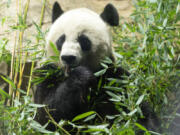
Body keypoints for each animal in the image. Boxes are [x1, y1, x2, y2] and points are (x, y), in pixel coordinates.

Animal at [34, 1, 159, 133]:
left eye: (83, 40)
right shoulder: (47, 74)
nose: (68, 57)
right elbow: (47, 115)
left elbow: (138, 110)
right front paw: (81, 76)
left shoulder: (115, 79)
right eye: (61, 40)